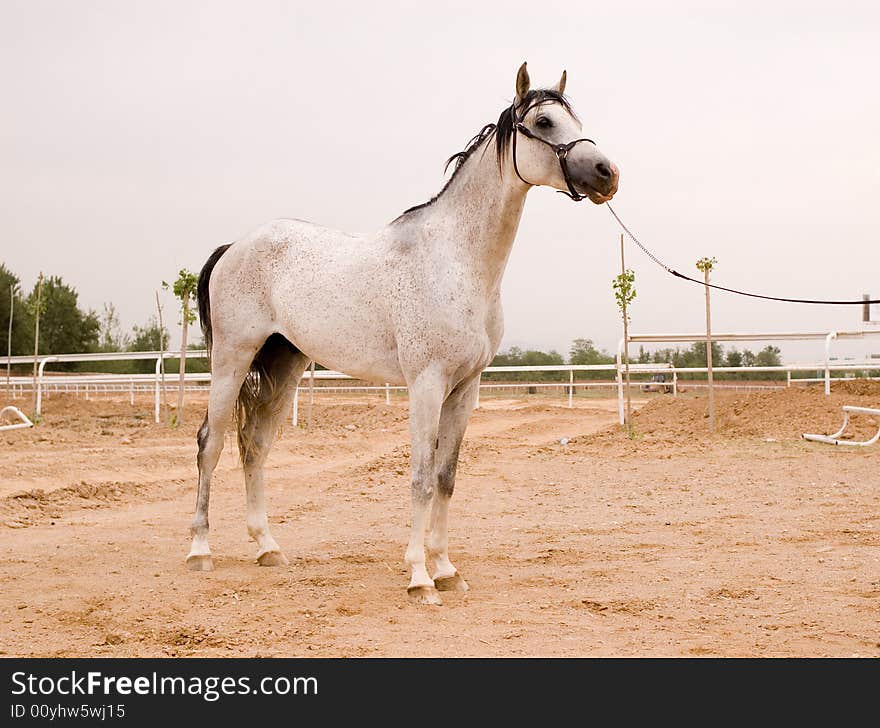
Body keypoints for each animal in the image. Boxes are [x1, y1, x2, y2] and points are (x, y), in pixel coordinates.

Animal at [187, 65, 620, 604]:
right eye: (543, 121)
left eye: (574, 118)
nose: (607, 173)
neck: (456, 259)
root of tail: (234, 247)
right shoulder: (426, 385)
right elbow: (420, 478)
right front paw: (419, 577)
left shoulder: (465, 389)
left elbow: (446, 478)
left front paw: (447, 569)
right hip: (232, 358)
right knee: (211, 442)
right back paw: (200, 551)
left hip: (284, 363)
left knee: (254, 444)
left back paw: (268, 547)